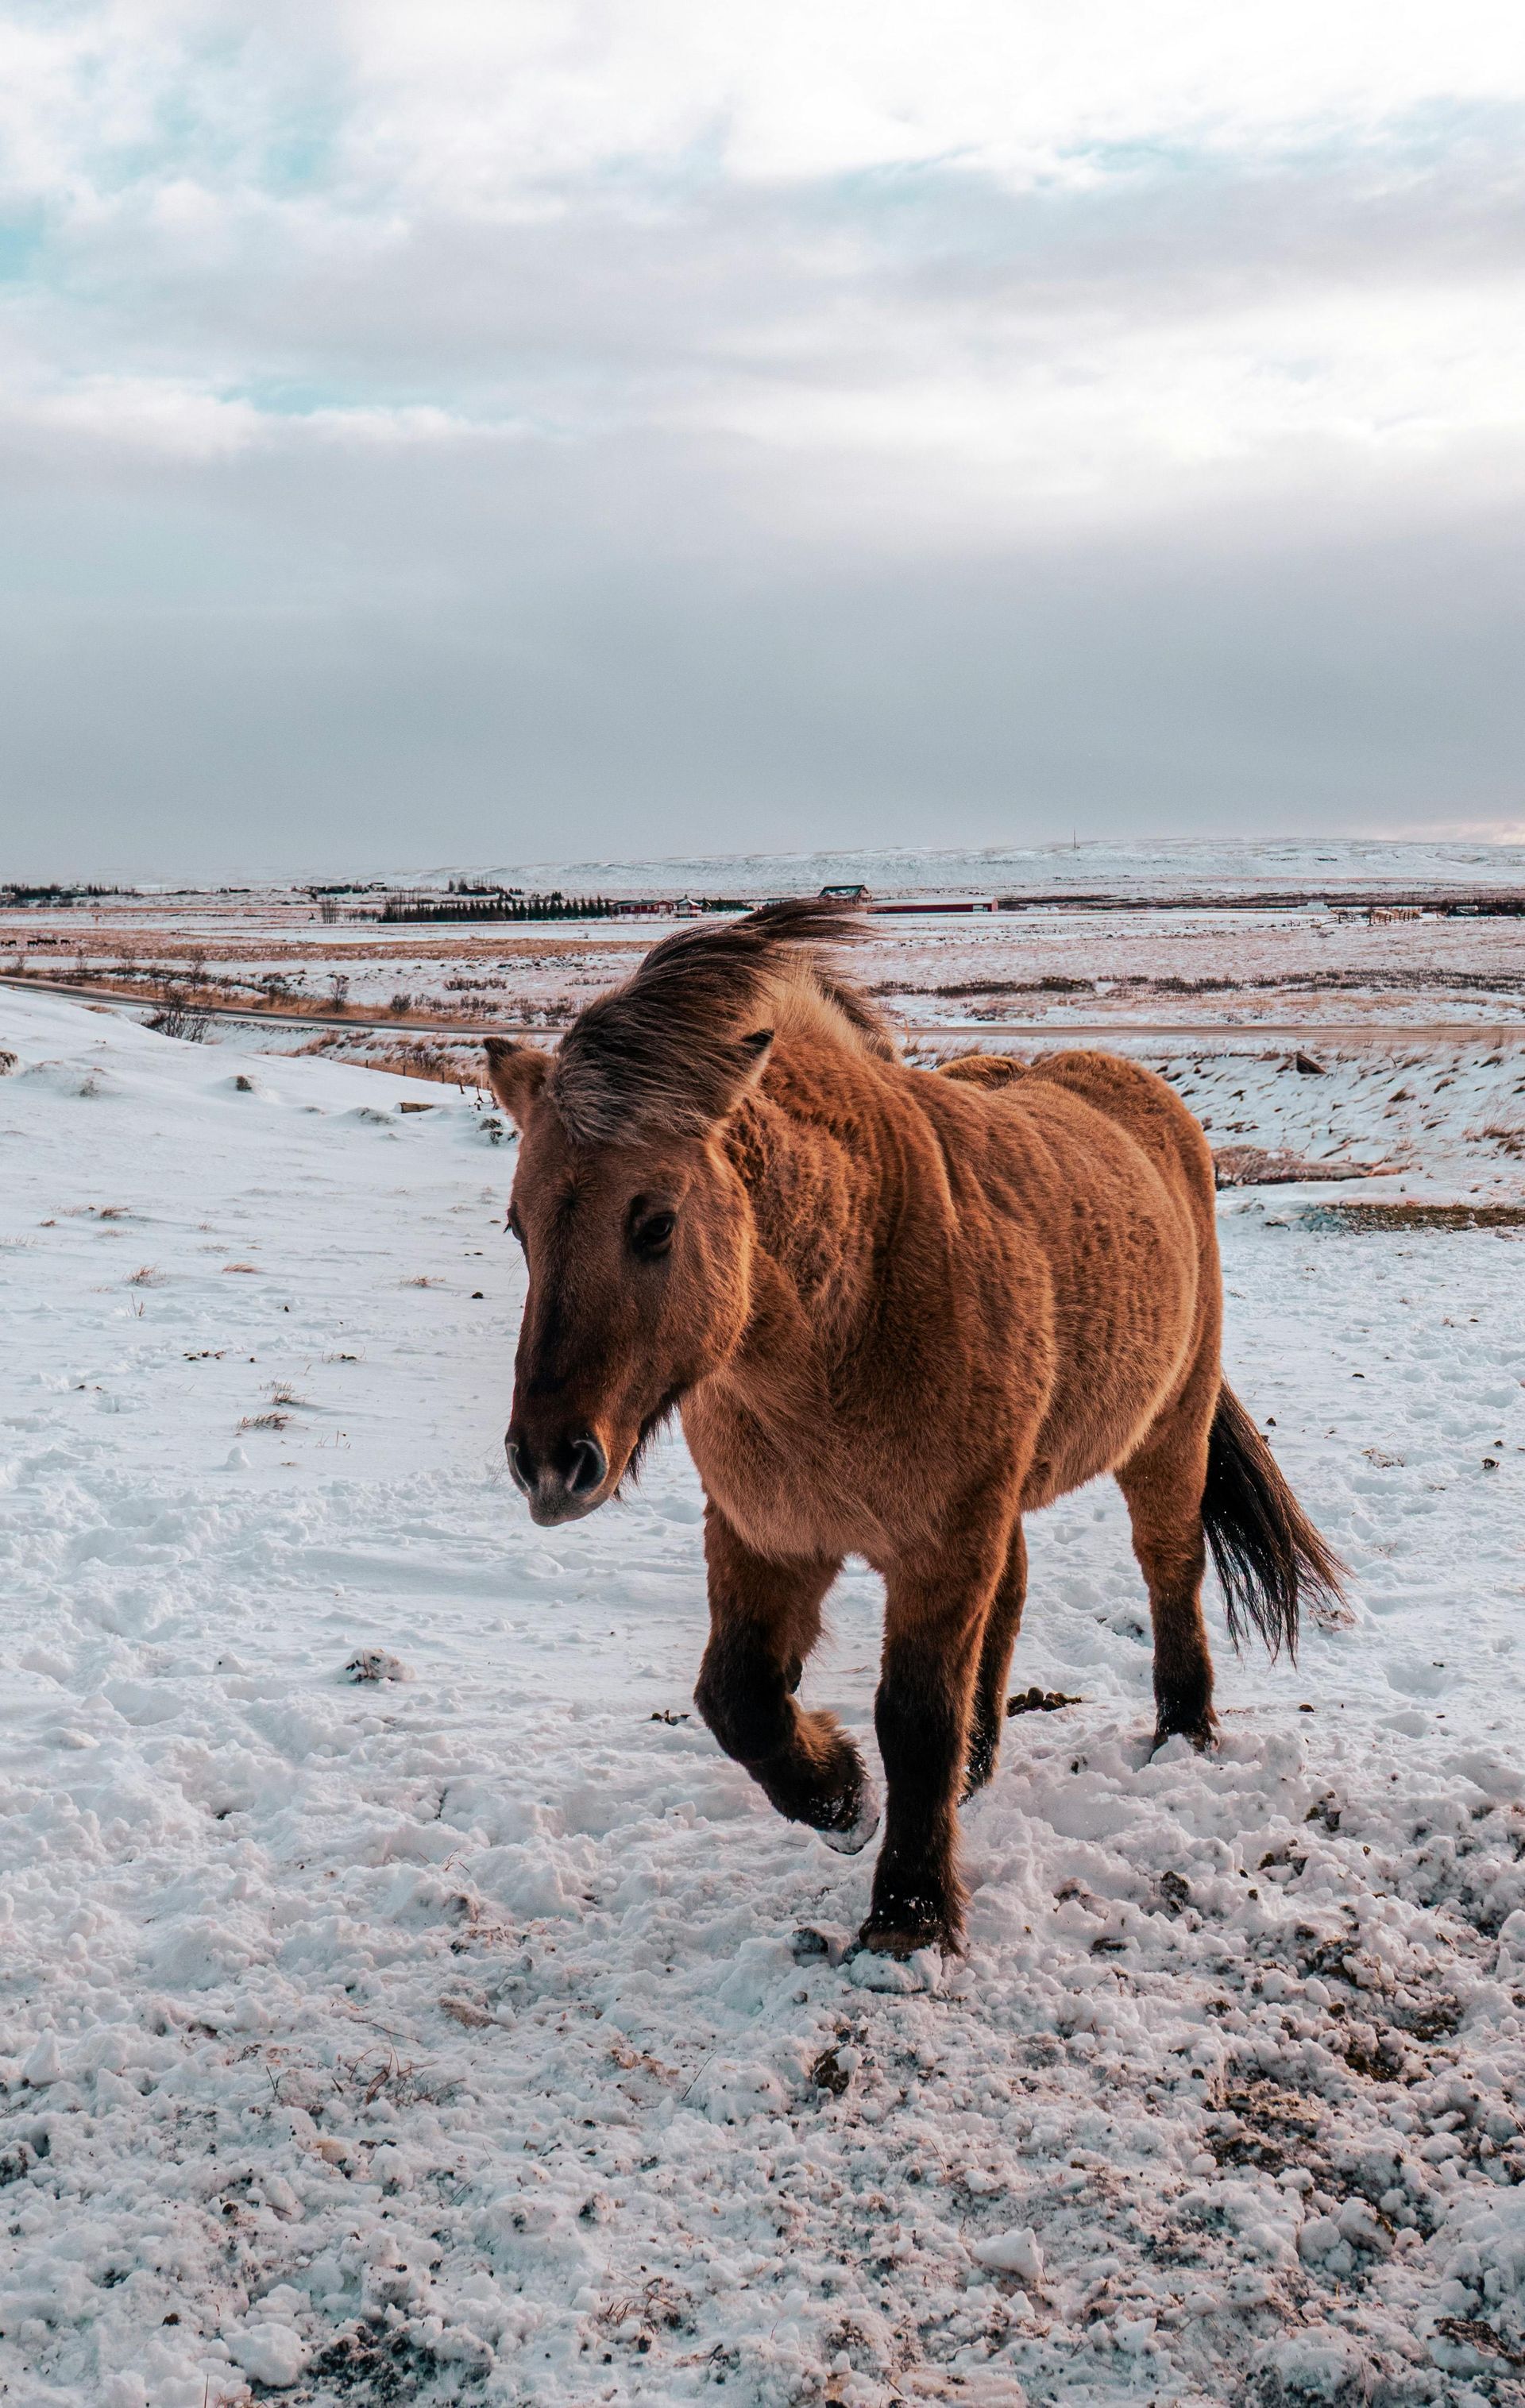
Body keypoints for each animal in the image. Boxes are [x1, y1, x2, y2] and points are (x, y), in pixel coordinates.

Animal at [485, 899, 1343, 1962]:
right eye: (519, 1227)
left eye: (654, 1222)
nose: (548, 1464)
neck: (838, 1323)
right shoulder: (768, 1536)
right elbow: (736, 1696)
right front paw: (841, 1795)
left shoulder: (940, 1545)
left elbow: (914, 1717)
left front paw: (909, 1914)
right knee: (1012, 1598)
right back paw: (979, 1768)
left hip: (1165, 1435)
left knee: (1170, 1568)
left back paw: (1184, 1732)